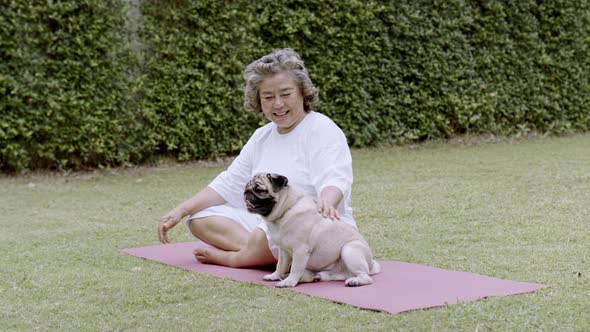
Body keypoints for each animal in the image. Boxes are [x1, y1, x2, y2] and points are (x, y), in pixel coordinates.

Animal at [246, 172, 382, 286]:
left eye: (259, 190)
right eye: (247, 187)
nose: (246, 193)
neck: (287, 209)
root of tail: (371, 265)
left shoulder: (300, 250)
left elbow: (295, 268)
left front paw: (289, 282)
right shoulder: (284, 251)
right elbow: (280, 265)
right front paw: (275, 276)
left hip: (349, 250)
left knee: (366, 276)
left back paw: (355, 281)